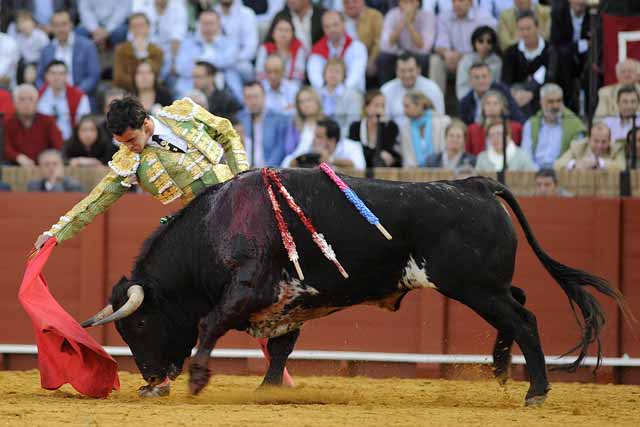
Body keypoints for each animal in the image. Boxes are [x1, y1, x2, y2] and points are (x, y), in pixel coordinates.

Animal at [81, 169, 632, 406]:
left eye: (140, 324)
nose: (150, 380)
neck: (216, 226)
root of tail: (474, 184)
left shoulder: (252, 288)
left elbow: (210, 322)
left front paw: (198, 379)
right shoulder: (290, 301)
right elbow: (280, 348)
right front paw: (267, 391)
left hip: (473, 285)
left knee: (525, 318)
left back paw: (536, 392)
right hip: (487, 285)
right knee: (518, 307)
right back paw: (499, 370)